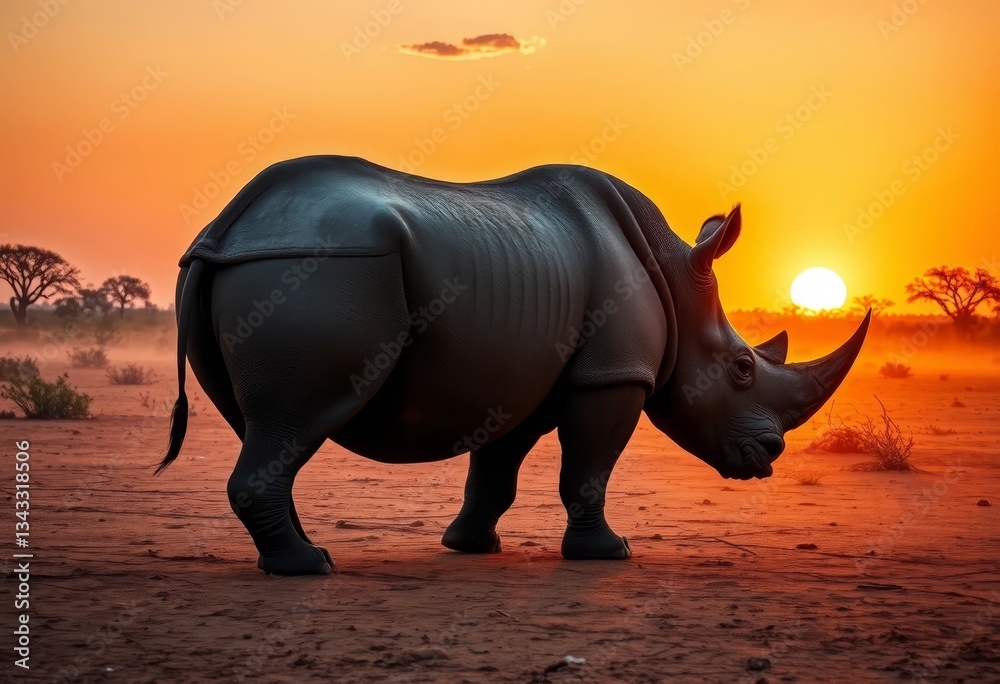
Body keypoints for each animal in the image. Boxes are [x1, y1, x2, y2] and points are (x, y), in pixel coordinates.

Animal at [158, 155, 870, 575]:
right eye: (743, 369)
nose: (769, 456)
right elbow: (588, 469)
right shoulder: (613, 374)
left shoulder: (527, 375)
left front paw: (470, 546)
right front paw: (608, 554)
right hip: (318, 267)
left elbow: (495, 470)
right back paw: (309, 566)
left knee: (265, 427)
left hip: (272, 267)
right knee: (294, 420)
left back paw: (301, 553)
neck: (675, 277)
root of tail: (227, 228)